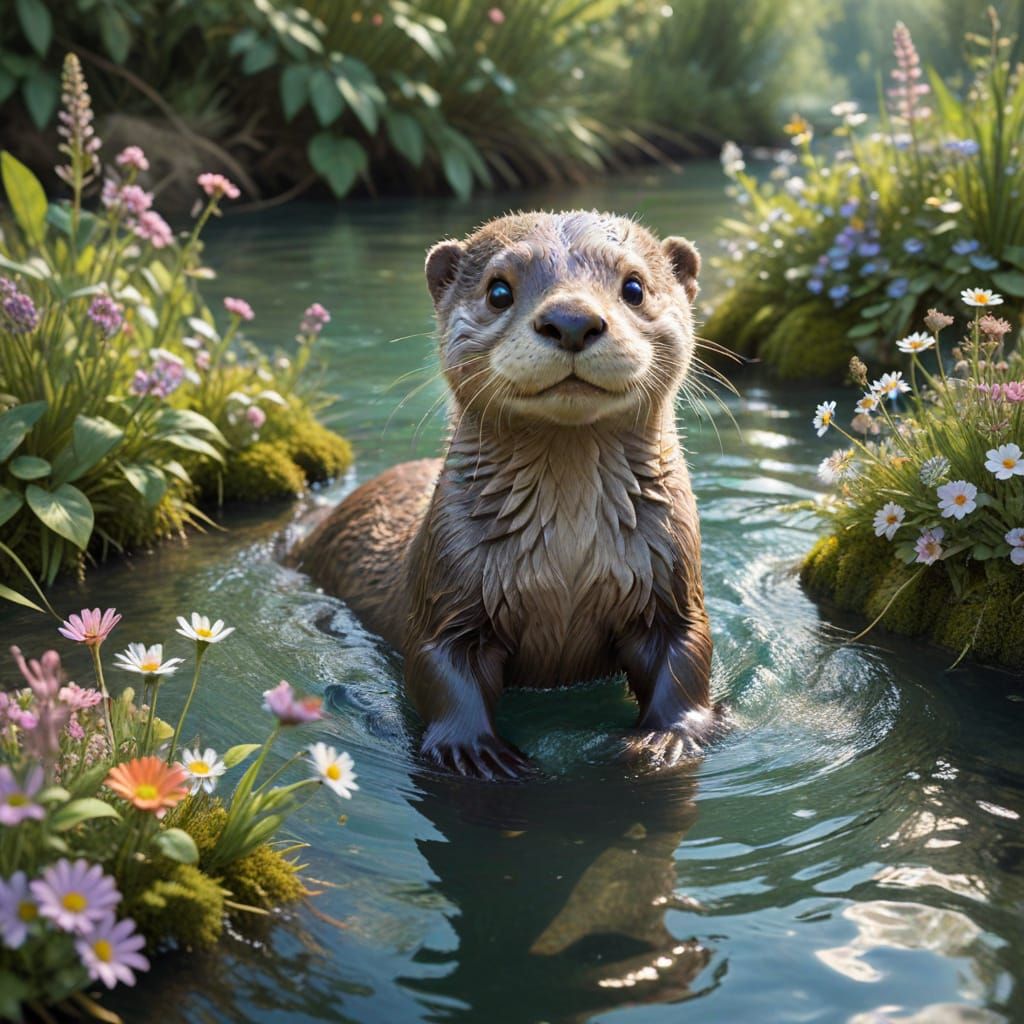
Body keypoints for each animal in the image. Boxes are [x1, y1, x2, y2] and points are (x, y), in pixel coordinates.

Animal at [292, 211, 718, 779]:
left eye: (634, 287)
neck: (568, 562)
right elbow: (438, 668)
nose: (571, 320)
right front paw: (473, 749)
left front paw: (669, 737)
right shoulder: (447, 590)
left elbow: (687, 656)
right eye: (498, 291)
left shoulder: (671, 582)